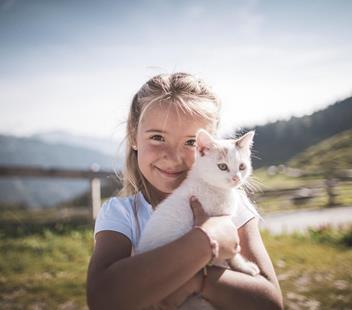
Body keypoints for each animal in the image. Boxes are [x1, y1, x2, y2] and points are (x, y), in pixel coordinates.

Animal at [136, 130, 260, 308]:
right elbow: (232, 253)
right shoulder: (221, 223)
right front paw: (245, 267)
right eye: (222, 167)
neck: (211, 186)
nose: (236, 178)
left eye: (242, 167)